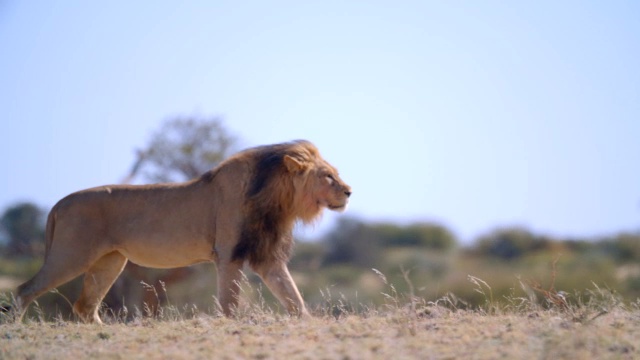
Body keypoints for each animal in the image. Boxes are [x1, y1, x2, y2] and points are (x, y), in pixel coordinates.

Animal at [15, 139, 352, 322]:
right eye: (327, 176)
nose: (350, 192)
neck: (278, 201)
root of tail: (59, 202)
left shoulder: (268, 258)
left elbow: (293, 297)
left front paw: (308, 323)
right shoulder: (229, 254)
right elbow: (229, 301)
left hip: (109, 261)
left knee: (85, 306)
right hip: (71, 255)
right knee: (24, 289)